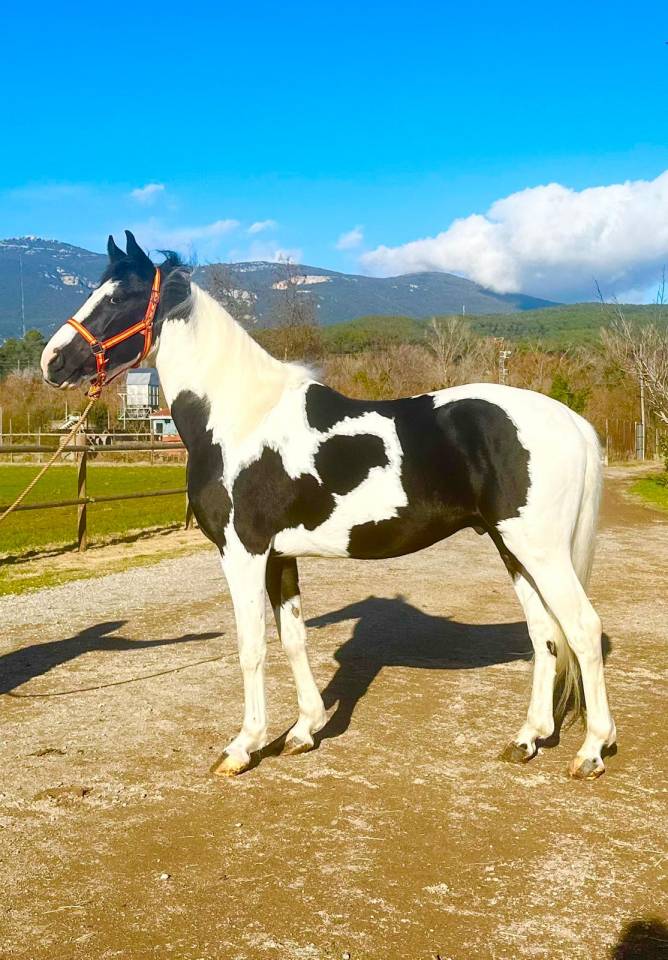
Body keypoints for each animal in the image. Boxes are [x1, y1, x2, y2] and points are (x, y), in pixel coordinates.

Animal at [40, 231, 616, 780]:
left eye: (121, 297)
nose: (53, 361)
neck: (240, 417)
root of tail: (572, 421)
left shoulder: (243, 551)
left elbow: (252, 646)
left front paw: (244, 747)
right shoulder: (279, 556)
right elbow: (293, 638)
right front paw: (304, 731)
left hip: (540, 550)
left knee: (582, 629)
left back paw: (591, 751)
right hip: (512, 547)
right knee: (544, 634)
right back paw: (528, 739)